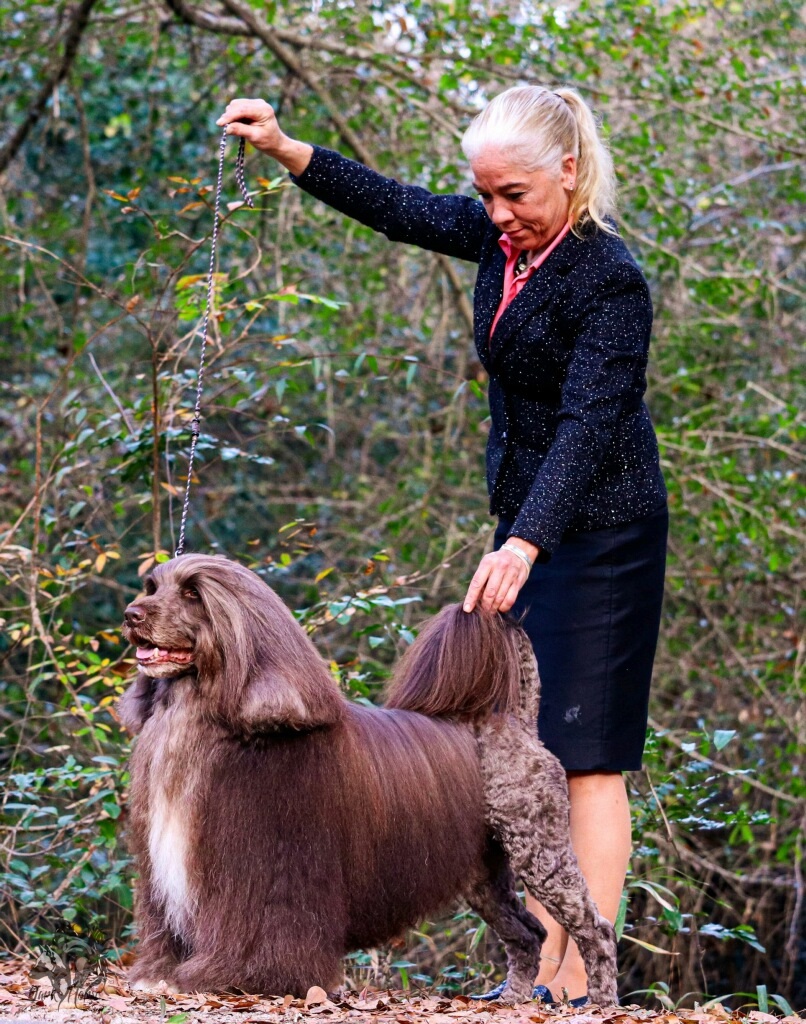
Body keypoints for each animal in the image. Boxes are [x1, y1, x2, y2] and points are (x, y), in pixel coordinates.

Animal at [118, 557, 618, 1003]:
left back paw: (600, 1002)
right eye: (151, 586)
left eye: (192, 593)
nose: (132, 615)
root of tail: (519, 724)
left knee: (596, 929)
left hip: (540, 847)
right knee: (527, 932)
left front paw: (224, 979)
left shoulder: (269, 873)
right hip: (485, 871)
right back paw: (514, 999)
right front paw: (159, 974)